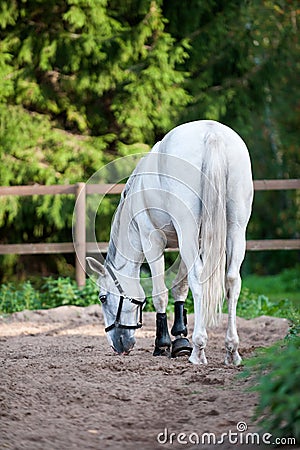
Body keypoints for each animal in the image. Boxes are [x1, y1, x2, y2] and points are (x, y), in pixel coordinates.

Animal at [87, 120, 253, 366]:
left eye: (103, 297)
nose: (118, 345)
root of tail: (212, 133)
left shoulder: (153, 240)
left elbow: (160, 293)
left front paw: (163, 344)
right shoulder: (193, 240)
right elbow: (180, 287)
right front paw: (180, 339)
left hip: (188, 229)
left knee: (199, 279)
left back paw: (198, 350)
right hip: (235, 228)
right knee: (232, 280)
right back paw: (231, 350)